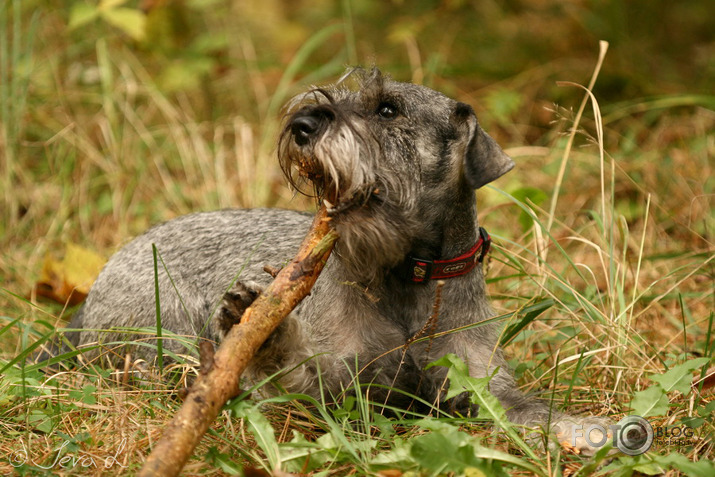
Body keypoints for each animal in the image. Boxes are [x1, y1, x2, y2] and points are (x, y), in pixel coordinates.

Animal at [67, 68, 608, 454]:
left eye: (388, 109)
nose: (302, 124)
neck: (407, 277)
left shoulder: (483, 385)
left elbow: (533, 411)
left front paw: (583, 430)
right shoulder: (335, 386)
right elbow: (295, 381)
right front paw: (266, 335)